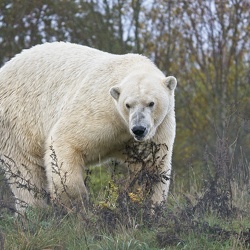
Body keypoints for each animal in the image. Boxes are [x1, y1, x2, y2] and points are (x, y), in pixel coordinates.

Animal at [0, 42, 177, 210]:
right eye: (128, 105)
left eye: (151, 103)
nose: (138, 129)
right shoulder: (99, 111)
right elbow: (65, 141)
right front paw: (77, 205)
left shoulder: (158, 128)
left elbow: (150, 165)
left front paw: (148, 206)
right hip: (17, 120)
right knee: (25, 168)